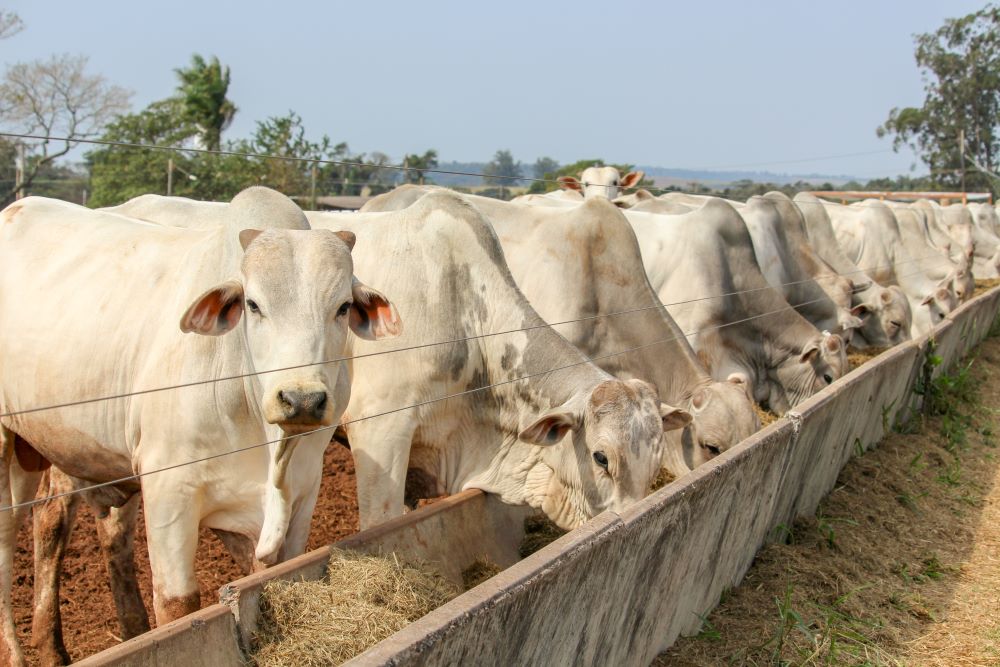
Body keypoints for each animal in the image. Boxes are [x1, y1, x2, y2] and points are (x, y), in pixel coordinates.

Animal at [0, 189, 402, 667]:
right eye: (252, 304)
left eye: (342, 307)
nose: (301, 398)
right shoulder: (170, 493)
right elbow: (179, 607)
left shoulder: (302, 493)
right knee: (14, 543)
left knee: (75, 526)